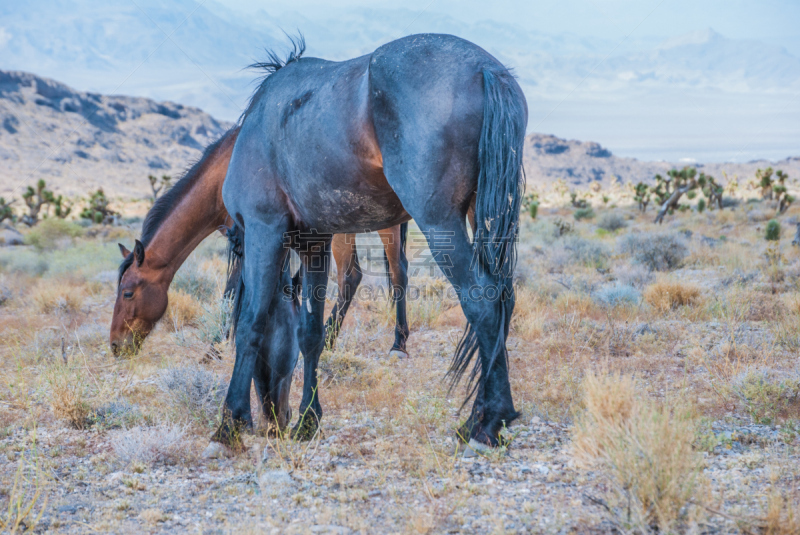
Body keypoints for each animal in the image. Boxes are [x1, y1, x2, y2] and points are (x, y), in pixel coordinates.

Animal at [111, 128, 412, 362]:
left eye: (127, 293)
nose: (115, 345)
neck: (223, 175)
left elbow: (232, 293)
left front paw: (214, 349)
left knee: (379, 273)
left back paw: (394, 344)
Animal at [216, 34, 528, 452]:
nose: (275, 419)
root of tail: (487, 70)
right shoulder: (315, 243)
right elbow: (310, 333)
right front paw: (308, 421)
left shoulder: (264, 229)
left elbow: (251, 322)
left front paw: (230, 422)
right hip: (484, 216)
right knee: (503, 299)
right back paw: (483, 416)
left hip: (439, 222)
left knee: (484, 302)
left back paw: (488, 423)